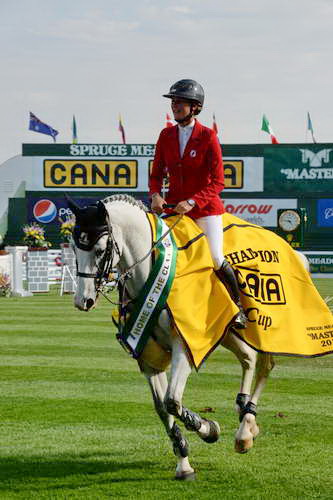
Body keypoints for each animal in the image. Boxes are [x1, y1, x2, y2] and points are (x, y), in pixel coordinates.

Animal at [67, 194, 272, 480]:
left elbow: (172, 401)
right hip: (227, 333)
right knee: (249, 359)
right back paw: (246, 425)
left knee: (263, 364)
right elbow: (162, 406)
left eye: (98, 250)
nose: (82, 301)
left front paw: (208, 429)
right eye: (75, 249)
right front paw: (184, 462)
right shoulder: (146, 354)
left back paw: (246, 426)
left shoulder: (185, 344)